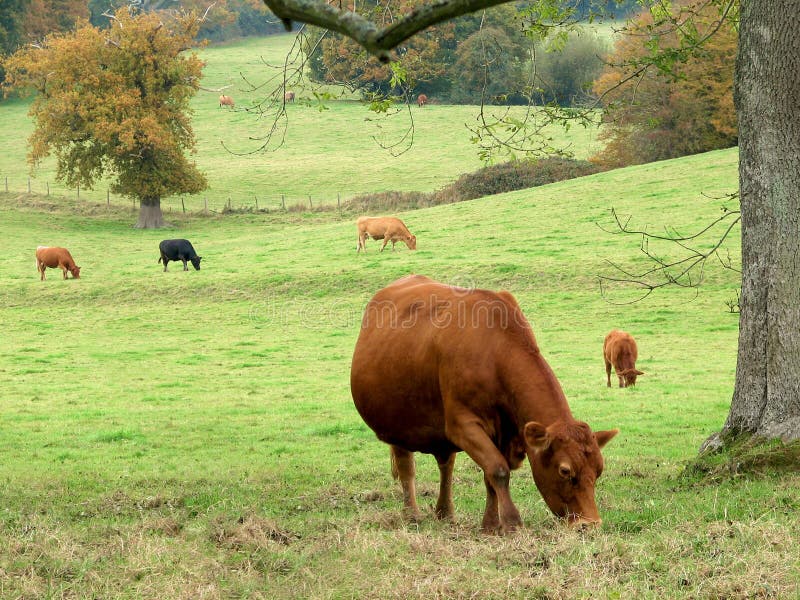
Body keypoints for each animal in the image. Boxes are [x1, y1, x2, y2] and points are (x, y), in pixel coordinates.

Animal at [351, 275, 618, 533]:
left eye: (599, 470)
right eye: (565, 471)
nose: (590, 524)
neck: (493, 352)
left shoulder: (503, 432)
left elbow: (490, 475)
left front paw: (490, 524)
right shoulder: (462, 425)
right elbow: (498, 469)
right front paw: (511, 522)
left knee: (446, 465)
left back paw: (445, 513)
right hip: (397, 422)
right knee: (407, 466)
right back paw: (412, 514)